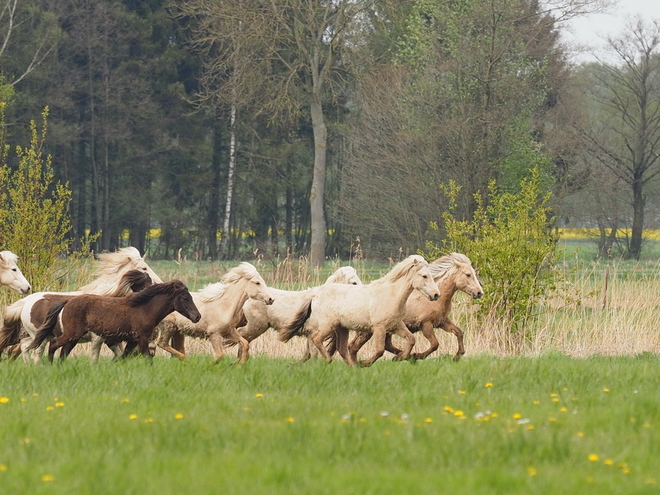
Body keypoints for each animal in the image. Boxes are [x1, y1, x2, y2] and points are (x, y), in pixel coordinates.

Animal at [0, 247, 161, 360]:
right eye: (144, 267)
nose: (158, 283)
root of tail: (26, 301)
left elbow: (119, 355)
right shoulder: (99, 338)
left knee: (19, 349)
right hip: (39, 336)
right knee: (29, 350)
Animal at [30, 280, 201, 362]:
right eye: (185, 298)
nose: (197, 317)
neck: (144, 308)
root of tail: (67, 301)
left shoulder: (132, 340)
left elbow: (123, 358)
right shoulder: (142, 338)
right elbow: (147, 358)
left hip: (74, 337)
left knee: (63, 352)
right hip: (72, 334)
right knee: (53, 345)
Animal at [235, 266, 364, 358]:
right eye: (354, 282)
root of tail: (248, 297)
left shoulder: (309, 335)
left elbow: (309, 354)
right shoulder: (313, 333)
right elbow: (314, 353)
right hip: (256, 327)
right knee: (241, 334)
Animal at [282, 256, 438, 368]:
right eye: (424, 276)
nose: (436, 295)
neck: (390, 295)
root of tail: (315, 295)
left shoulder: (396, 325)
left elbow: (411, 339)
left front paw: (401, 357)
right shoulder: (379, 328)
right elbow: (380, 350)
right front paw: (365, 363)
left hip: (341, 328)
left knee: (341, 348)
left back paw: (352, 367)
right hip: (328, 325)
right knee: (316, 338)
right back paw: (329, 359)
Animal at [348, 254, 482, 362]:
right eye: (468, 275)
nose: (480, 293)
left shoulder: (442, 322)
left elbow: (459, 332)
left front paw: (457, 356)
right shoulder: (426, 325)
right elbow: (435, 344)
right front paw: (418, 355)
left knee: (381, 345)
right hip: (367, 331)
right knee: (354, 347)